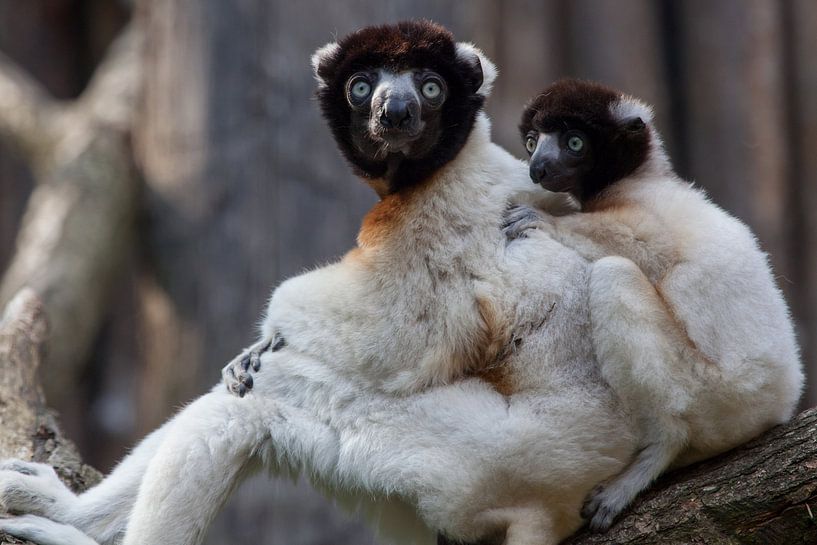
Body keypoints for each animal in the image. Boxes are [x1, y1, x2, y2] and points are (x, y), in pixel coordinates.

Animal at [0, 24, 636, 545]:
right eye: (361, 86)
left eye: (431, 88)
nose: (395, 111)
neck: (449, 162)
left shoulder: (437, 216)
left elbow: (392, 337)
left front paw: (269, 331)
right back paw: (65, 511)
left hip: (482, 461)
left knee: (265, 399)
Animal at [503, 78, 804, 531]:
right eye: (533, 141)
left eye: (574, 143)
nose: (538, 168)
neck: (639, 175)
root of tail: (778, 401)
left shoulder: (642, 205)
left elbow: (649, 246)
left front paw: (543, 220)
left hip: (712, 390)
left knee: (613, 275)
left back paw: (661, 447)